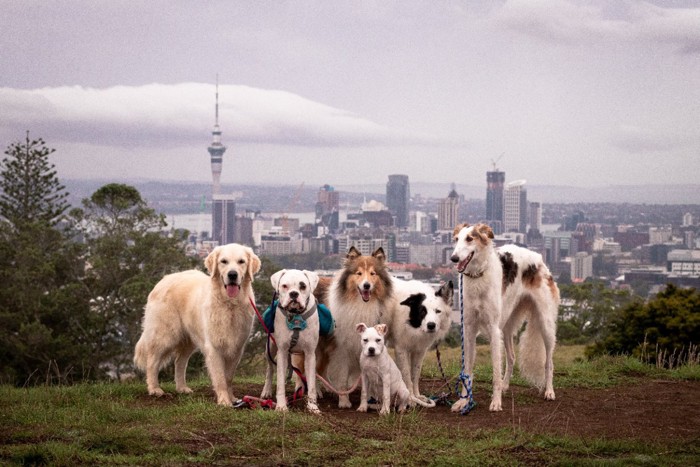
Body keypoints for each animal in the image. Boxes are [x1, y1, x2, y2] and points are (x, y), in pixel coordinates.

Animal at [260, 268, 320, 414]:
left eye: (303, 286)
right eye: (284, 286)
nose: (293, 293)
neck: (296, 315)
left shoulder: (310, 354)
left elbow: (311, 384)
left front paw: (312, 406)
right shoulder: (282, 352)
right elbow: (280, 383)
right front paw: (281, 406)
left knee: (298, 372)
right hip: (270, 348)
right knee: (270, 370)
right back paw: (266, 391)